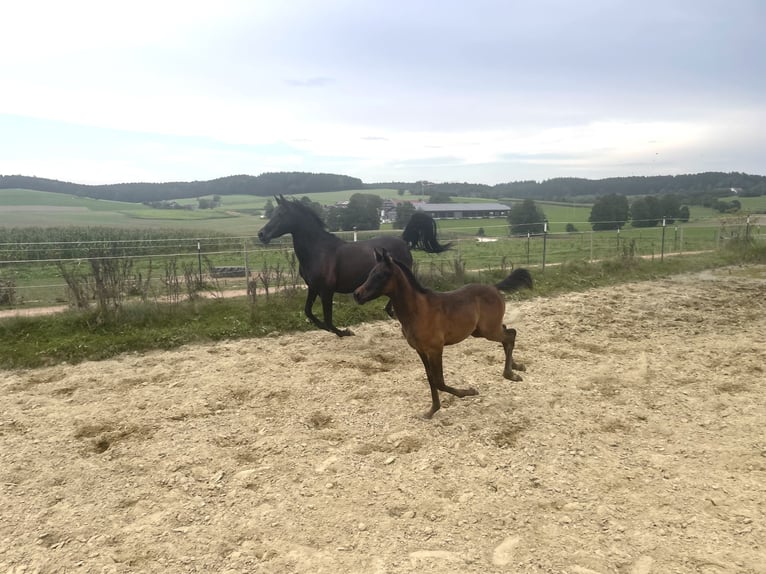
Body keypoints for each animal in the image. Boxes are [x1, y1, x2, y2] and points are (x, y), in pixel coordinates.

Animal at [260, 197, 450, 338]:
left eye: (281, 214)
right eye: (273, 213)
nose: (261, 234)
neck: (318, 251)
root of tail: (403, 241)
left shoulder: (326, 291)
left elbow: (328, 320)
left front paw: (345, 332)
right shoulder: (313, 288)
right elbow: (309, 312)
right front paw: (330, 329)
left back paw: (391, 312)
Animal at [354, 250, 536, 420]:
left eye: (381, 275)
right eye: (370, 273)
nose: (357, 294)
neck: (418, 311)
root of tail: (494, 287)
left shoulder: (435, 349)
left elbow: (439, 381)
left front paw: (469, 391)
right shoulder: (421, 350)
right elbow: (430, 379)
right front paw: (431, 411)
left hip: (488, 331)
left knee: (510, 335)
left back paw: (511, 374)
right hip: (481, 331)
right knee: (508, 332)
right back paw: (517, 366)